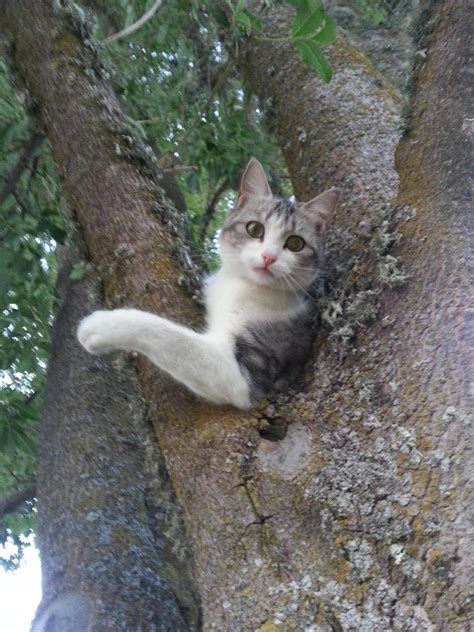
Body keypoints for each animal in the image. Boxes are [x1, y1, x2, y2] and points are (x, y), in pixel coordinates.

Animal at [76, 159, 338, 410]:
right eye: (255, 229)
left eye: (295, 243)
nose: (268, 257)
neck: (239, 287)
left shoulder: (247, 374)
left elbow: (171, 337)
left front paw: (100, 325)